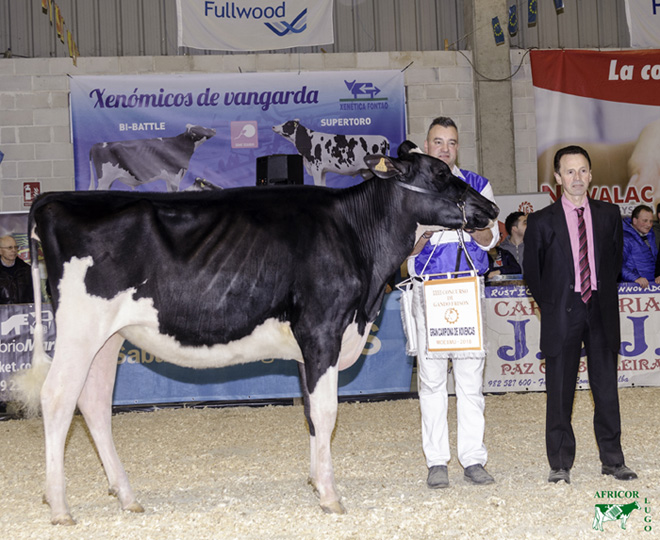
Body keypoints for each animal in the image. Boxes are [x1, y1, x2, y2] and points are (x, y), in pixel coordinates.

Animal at [87, 125, 215, 193]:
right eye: (200, 128)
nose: (213, 130)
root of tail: (96, 144)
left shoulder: (170, 178)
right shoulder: (175, 176)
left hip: (108, 181)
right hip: (104, 179)